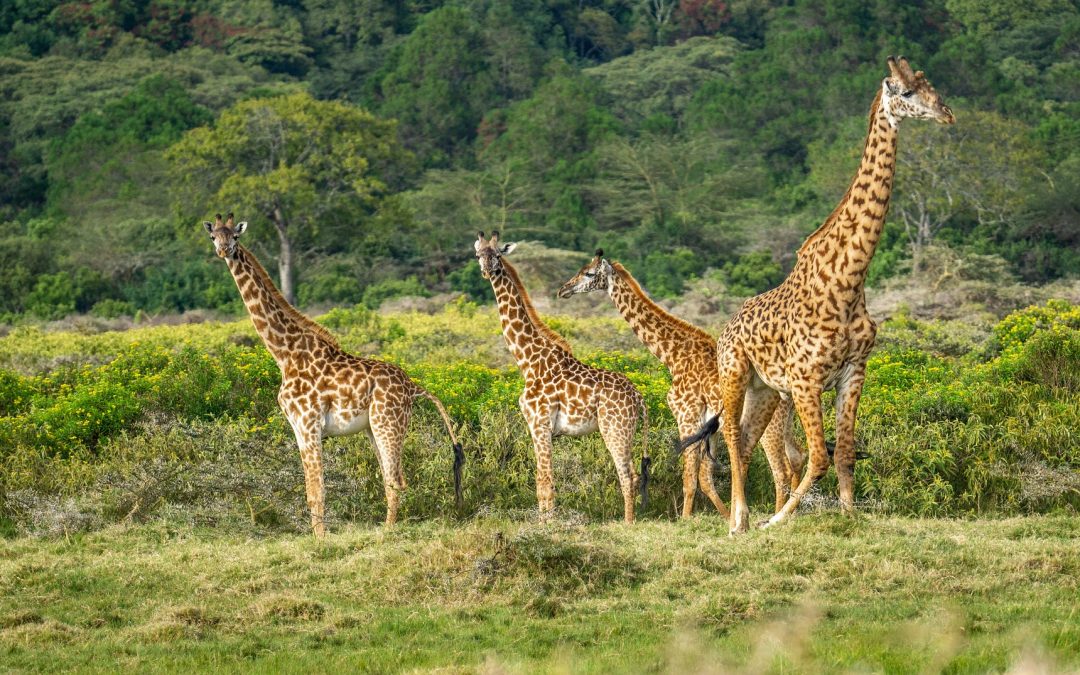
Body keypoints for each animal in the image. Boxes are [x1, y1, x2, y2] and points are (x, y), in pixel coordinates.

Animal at [204, 212, 466, 533]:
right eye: (214, 236)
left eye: (236, 236)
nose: (224, 251)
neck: (286, 354)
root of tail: (414, 386)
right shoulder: (298, 428)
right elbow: (310, 491)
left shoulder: (309, 423)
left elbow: (317, 491)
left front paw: (321, 539)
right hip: (373, 428)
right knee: (390, 480)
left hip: (388, 422)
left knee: (396, 481)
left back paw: (385, 534)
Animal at [475, 231, 648, 520]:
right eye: (479, 254)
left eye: (498, 254)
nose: (488, 270)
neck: (528, 360)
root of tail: (639, 398)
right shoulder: (538, 428)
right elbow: (543, 480)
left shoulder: (540, 423)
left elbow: (545, 481)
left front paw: (548, 524)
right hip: (625, 429)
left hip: (614, 428)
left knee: (628, 475)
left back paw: (628, 523)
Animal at [557, 250, 812, 514]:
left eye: (589, 273)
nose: (563, 289)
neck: (673, 355)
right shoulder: (708, 425)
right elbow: (705, 478)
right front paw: (724, 515)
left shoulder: (686, 417)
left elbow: (690, 479)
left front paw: (687, 518)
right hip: (785, 420)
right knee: (797, 456)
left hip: (770, 424)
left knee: (781, 471)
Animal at [691, 56, 954, 531]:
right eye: (906, 92)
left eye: (930, 85)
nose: (947, 114)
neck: (848, 283)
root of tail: (727, 328)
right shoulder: (806, 379)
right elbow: (817, 458)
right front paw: (777, 521)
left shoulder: (853, 373)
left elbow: (844, 452)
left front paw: (850, 516)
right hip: (734, 373)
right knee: (734, 438)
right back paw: (740, 520)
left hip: (765, 390)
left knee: (746, 441)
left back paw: (742, 519)